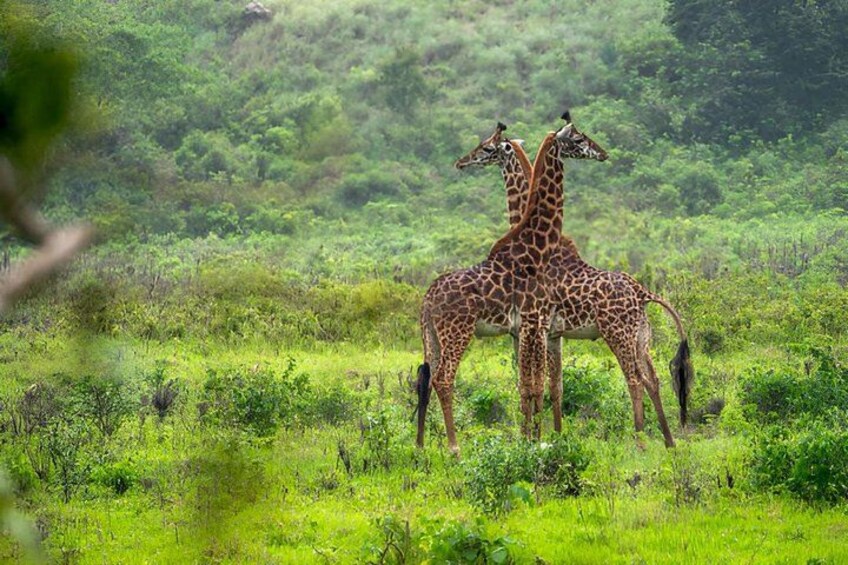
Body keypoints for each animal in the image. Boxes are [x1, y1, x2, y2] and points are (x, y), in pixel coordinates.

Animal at [416, 117, 608, 453]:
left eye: (486, 147)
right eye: (579, 138)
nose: (603, 153)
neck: (535, 249)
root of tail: (427, 299)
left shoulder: (532, 329)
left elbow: (535, 385)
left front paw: (536, 438)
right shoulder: (534, 325)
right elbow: (533, 386)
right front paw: (534, 440)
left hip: (433, 337)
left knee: (426, 380)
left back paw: (423, 445)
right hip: (456, 332)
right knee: (442, 379)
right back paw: (453, 447)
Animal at [455, 115, 695, 448]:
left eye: (487, 148)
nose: (461, 162)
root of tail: (642, 291)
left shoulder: (531, 330)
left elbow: (532, 385)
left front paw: (534, 439)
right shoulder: (551, 334)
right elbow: (554, 385)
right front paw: (554, 436)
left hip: (617, 333)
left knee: (634, 380)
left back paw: (640, 441)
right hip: (640, 335)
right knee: (654, 378)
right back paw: (669, 441)